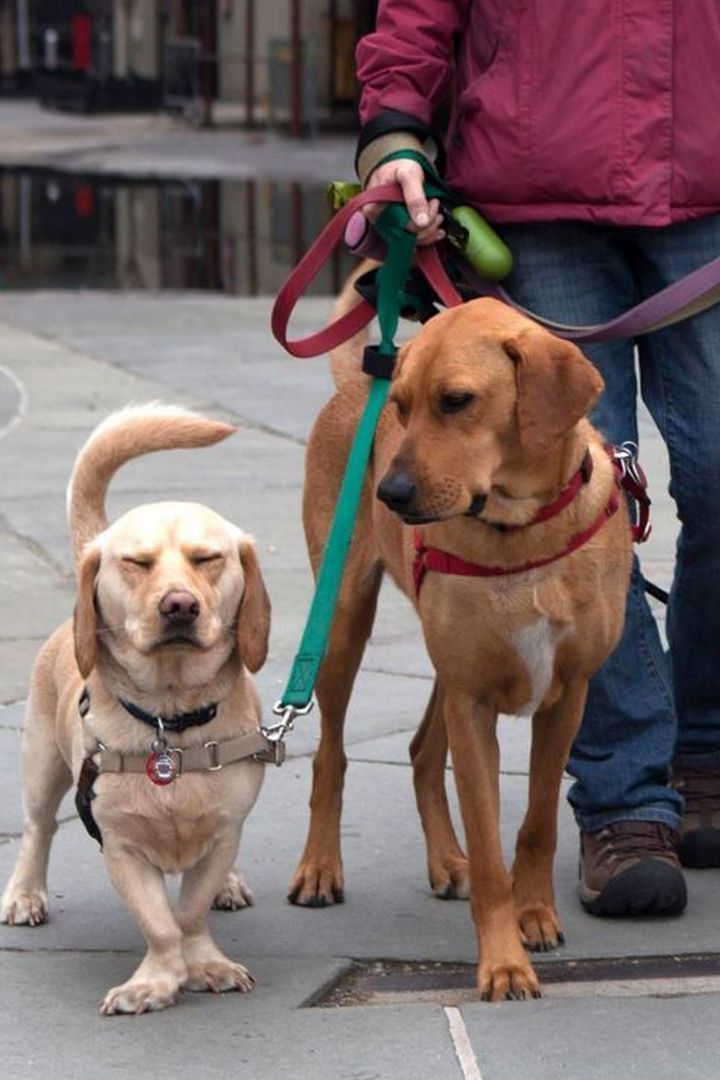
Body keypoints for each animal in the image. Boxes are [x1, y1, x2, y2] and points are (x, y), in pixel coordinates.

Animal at [1, 403, 272, 1010]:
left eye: (208, 558)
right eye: (136, 563)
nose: (180, 605)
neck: (170, 719)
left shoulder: (223, 833)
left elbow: (189, 912)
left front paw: (204, 964)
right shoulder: (120, 847)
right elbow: (160, 923)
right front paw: (157, 980)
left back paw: (230, 885)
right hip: (42, 769)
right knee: (36, 830)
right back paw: (25, 892)